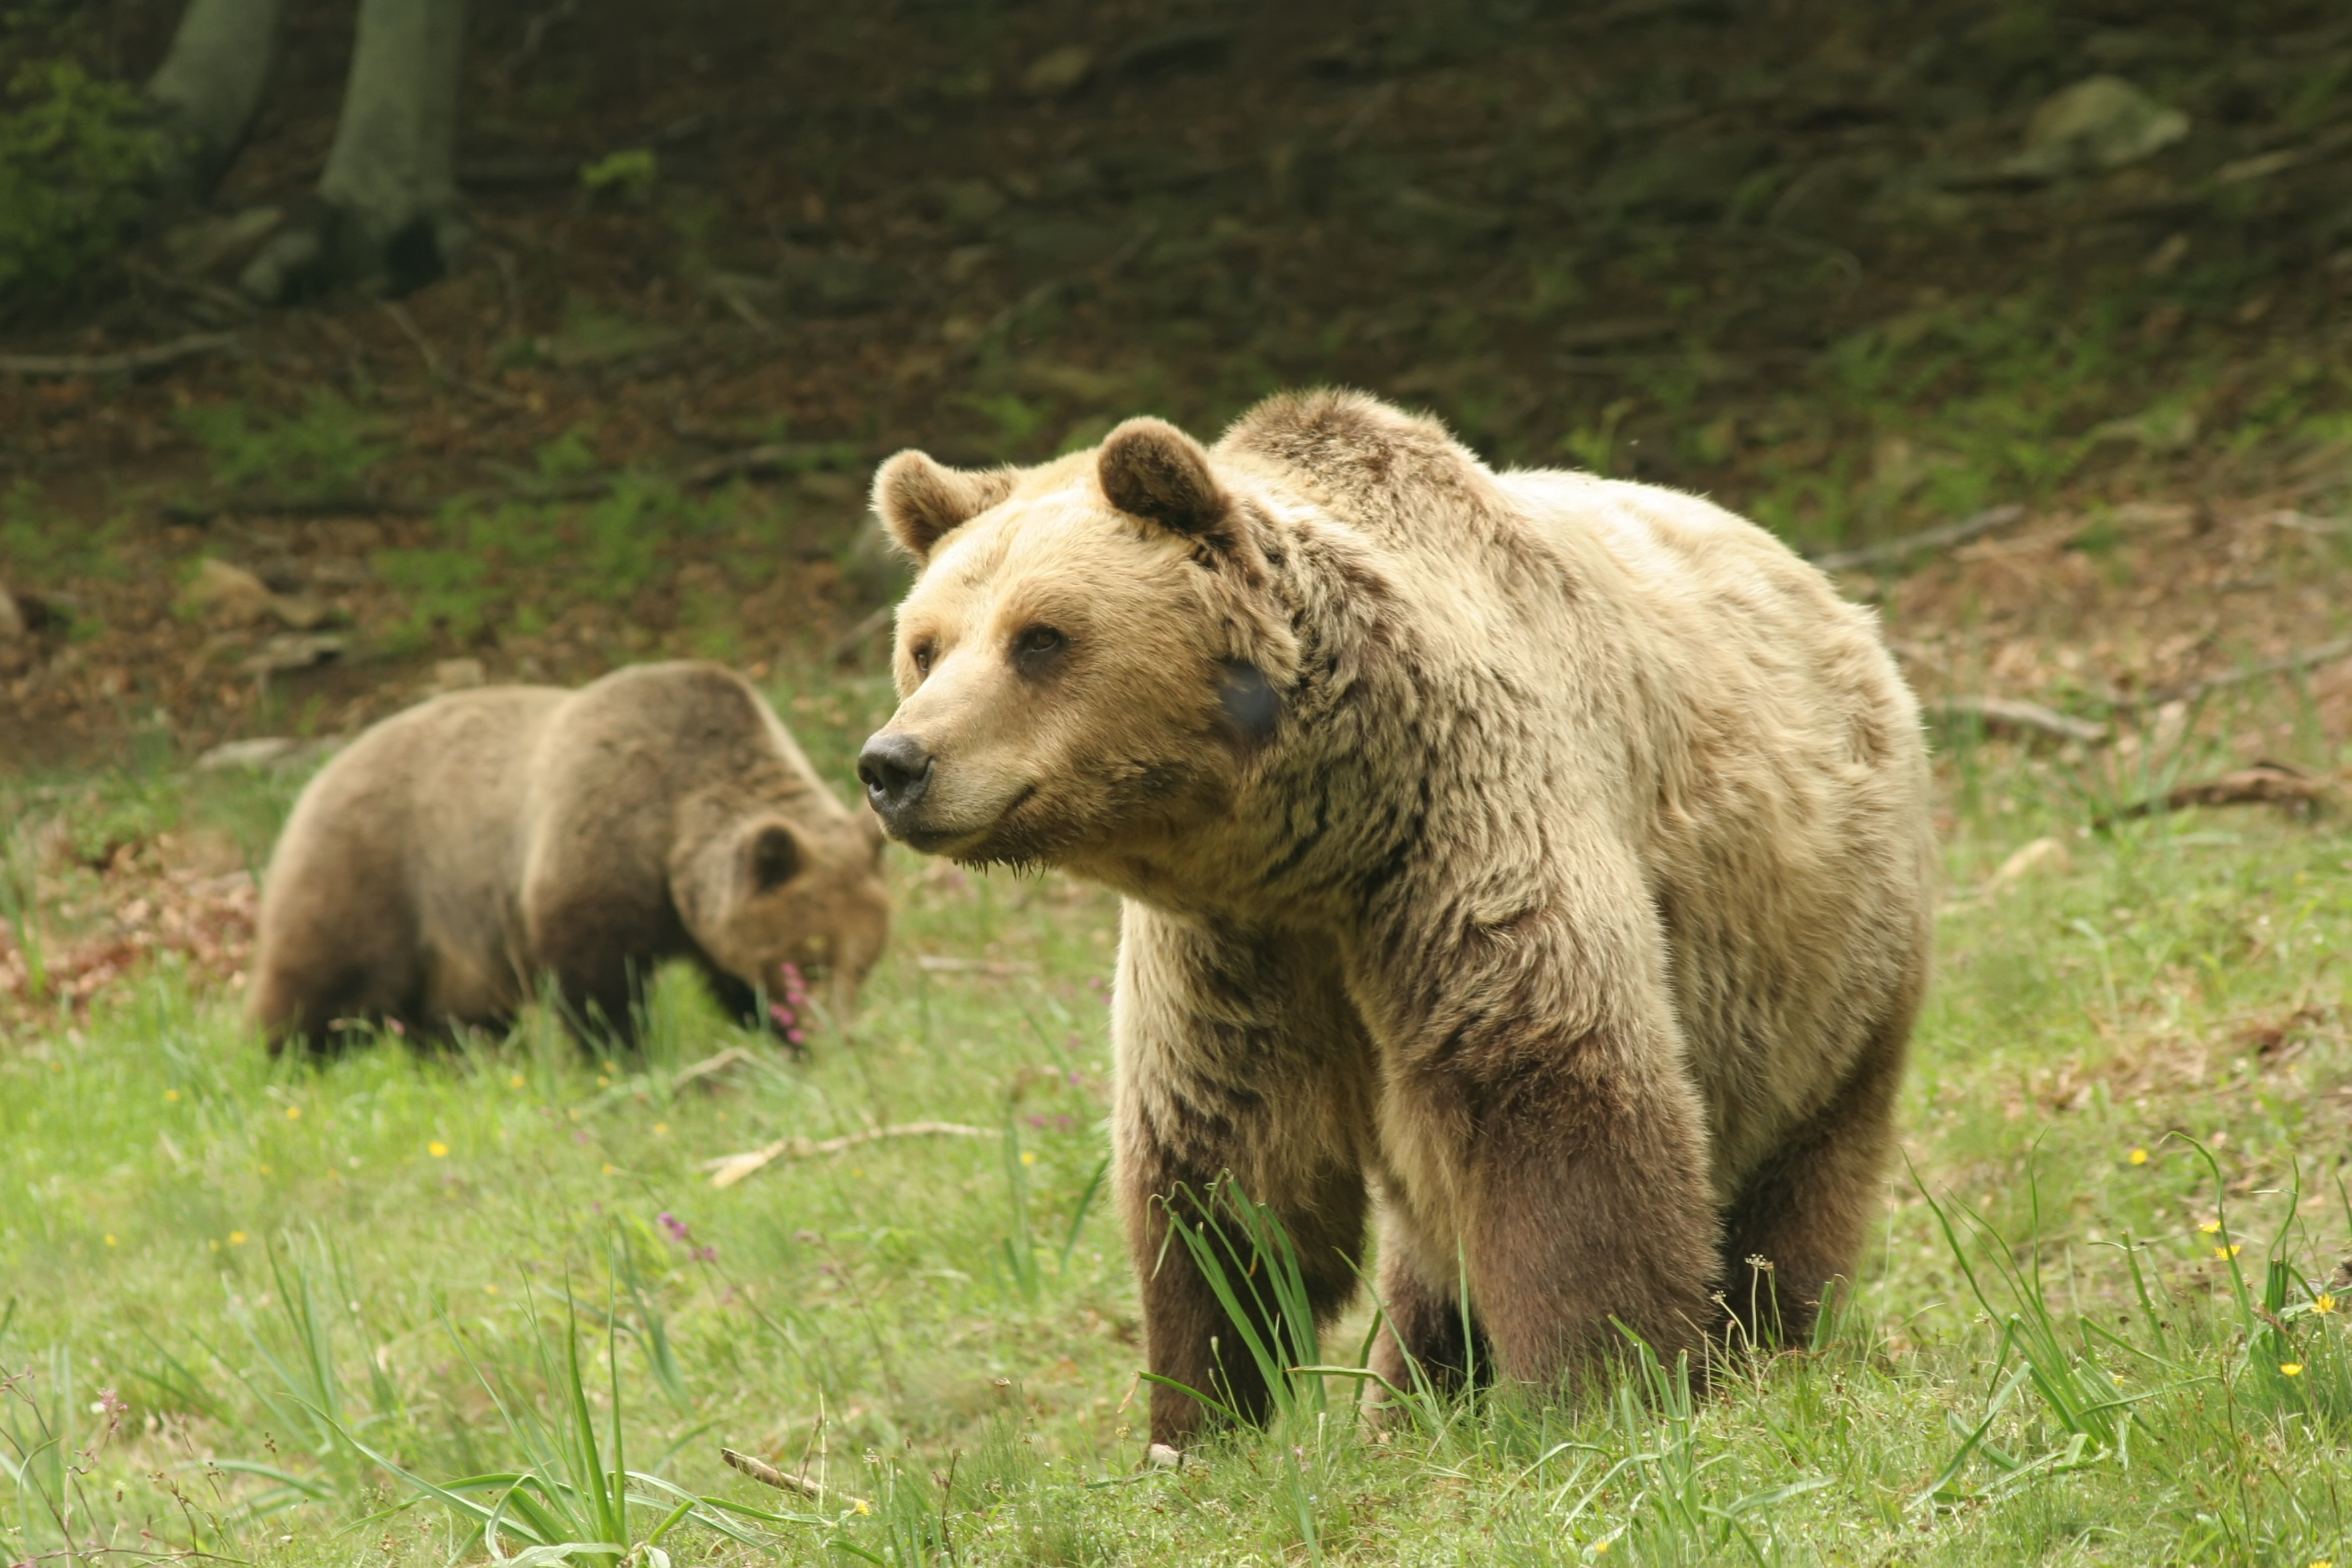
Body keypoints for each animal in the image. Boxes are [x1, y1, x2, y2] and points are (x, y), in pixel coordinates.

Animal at [250, 663, 889, 1053]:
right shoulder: (595, 844)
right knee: (323, 980)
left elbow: (733, 980)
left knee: (451, 1017)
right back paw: (286, 1057)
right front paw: (623, 1056)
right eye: (809, 961)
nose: (837, 1036)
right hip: (376, 869)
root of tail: (322, 771)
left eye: (864, 964)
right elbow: (597, 983)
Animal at [860, 390, 1928, 1448]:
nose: (894, 763)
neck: (1316, 838)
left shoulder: (1460, 841)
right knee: (1429, 1241)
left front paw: (1598, 1388)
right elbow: (1226, 1172)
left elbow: (1553, 1107)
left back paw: (1771, 1345)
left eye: (1040, 636)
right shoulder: (1233, 954)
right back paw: (1416, 1396)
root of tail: (1834, 597)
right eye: (925, 646)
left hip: (1825, 964)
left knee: (1798, 1174)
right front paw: (1198, 1419)